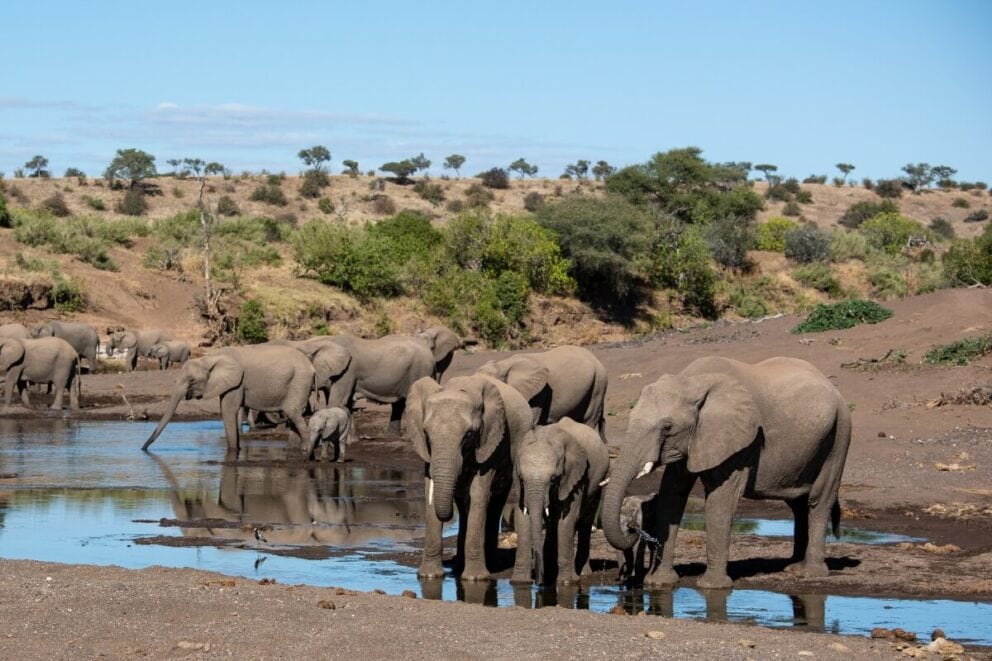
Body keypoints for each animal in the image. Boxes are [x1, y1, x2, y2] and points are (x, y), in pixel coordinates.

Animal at [142, 344, 314, 456]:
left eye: (191, 381)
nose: (143, 449)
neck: (210, 358)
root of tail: (311, 367)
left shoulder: (237, 382)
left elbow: (228, 410)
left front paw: (233, 451)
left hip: (299, 382)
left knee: (294, 413)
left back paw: (305, 450)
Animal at [404, 373, 534, 581]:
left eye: (469, 435)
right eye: (426, 434)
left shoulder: (489, 442)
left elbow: (479, 493)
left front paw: (475, 578)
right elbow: (429, 490)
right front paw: (429, 576)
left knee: (494, 502)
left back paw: (489, 564)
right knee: (464, 507)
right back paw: (458, 566)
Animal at [510, 416, 609, 586]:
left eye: (553, 479)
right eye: (522, 478)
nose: (539, 582)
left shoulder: (577, 477)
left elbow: (567, 520)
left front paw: (567, 582)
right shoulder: (519, 485)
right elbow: (522, 518)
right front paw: (519, 582)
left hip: (599, 479)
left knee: (585, 522)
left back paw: (583, 573)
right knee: (553, 523)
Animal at [601, 356, 852, 589]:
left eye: (667, 427)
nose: (632, 528)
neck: (692, 383)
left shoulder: (740, 441)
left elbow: (719, 500)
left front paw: (712, 586)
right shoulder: (693, 440)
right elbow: (672, 495)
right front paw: (660, 583)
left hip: (839, 434)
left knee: (818, 500)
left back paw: (809, 573)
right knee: (798, 504)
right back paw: (793, 566)